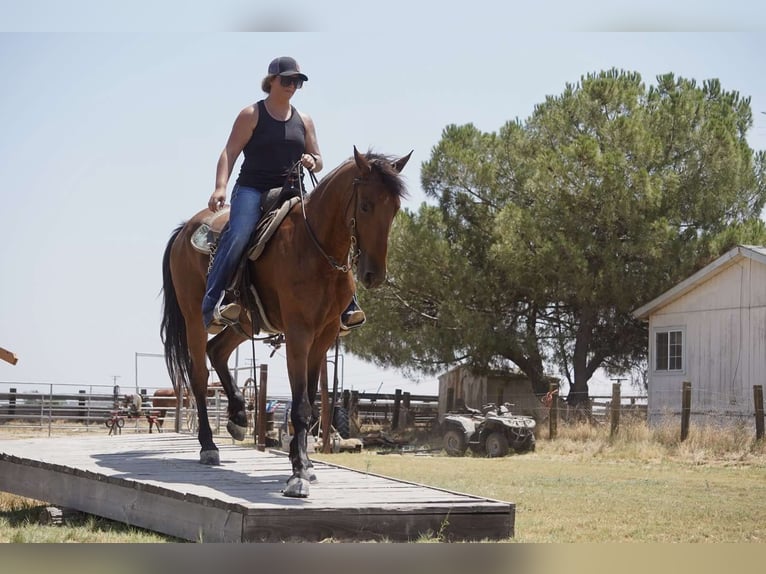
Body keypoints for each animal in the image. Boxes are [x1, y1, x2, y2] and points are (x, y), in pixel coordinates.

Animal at [160, 148, 412, 500]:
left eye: (395, 209)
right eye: (365, 205)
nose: (374, 274)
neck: (316, 248)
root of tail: (186, 230)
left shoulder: (324, 336)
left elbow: (311, 401)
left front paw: (304, 463)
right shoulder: (298, 333)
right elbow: (301, 406)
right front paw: (298, 474)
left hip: (244, 322)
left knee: (218, 351)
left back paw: (239, 416)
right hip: (195, 318)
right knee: (199, 375)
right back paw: (209, 446)